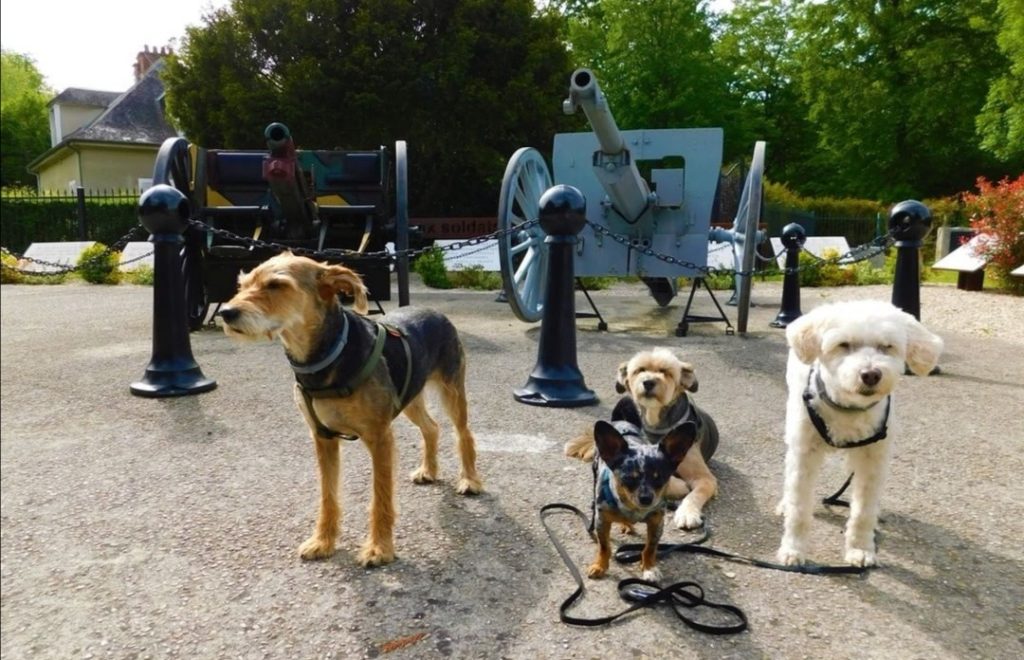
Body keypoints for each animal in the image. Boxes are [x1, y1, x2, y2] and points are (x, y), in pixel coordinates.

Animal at [218, 252, 481, 564]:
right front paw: (323, 541)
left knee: (463, 433)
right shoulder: (323, 438)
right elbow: (328, 496)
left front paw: (379, 548)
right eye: (243, 284)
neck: (328, 355)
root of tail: (435, 311)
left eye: (276, 285)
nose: (226, 312)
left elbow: (380, 497)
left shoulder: (380, 437)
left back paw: (470, 480)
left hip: (452, 390)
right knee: (432, 427)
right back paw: (428, 469)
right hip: (410, 398)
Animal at [569, 347, 720, 528]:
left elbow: (695, 493)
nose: (648, 382)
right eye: (640, 370)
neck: (654, 422)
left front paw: (687, 513)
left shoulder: (705, 478)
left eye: (665, 372)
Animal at [585, 419, 696, 581]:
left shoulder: (657, 523)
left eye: (659, 479)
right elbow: (604, 546)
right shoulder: (602, 521)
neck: (633, 509)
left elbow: (650, 548)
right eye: (628, 478)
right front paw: (599, 566)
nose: (646, 498)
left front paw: (649, 568)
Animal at [774, 300, 942, 564]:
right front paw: (793, 549)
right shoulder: (804, 452)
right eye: (843, 345)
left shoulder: (873, 458)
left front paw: (860, 549)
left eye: (887, 347)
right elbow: (799, 505)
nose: (871, 374)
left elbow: (863, 509)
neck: (847, 408)